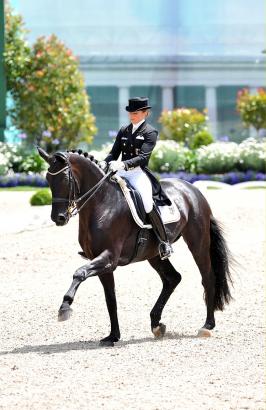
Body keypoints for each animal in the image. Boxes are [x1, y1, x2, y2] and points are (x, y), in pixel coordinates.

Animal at [37, 147, 233, 346]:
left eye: (65, 179)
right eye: (48, 179)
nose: (58, 218)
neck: (102, 203)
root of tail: (193, 190)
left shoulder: (109, 257)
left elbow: (79, 273)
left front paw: (64, 308)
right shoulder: (104, 264)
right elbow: (110, 299)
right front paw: (113, 336)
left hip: (197, 243)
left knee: (207, 278)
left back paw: (207, 326)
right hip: (154, 254)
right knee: (172, 278)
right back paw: (156, 324)